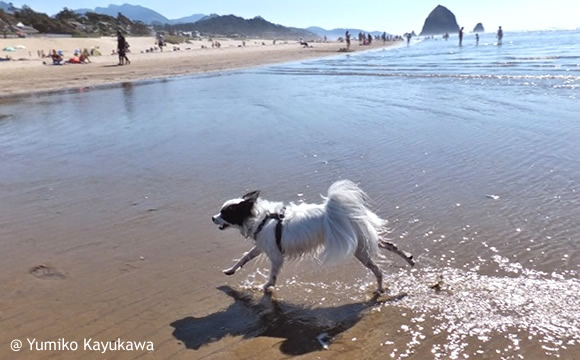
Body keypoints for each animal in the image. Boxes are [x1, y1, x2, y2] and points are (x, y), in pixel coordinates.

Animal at [211, 180, 414, 292]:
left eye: (225, 213)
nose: (212, 218)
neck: (261, 219)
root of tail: (347, 213)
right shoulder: (261, 246)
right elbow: (244, 258)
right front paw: (230, 270)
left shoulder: (276, 256)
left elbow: (272, 276)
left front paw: (265, 288)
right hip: (365, 241)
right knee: (390, 245)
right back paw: (409, 259)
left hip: (360, 251)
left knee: (378, 270)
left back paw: (380, 289)